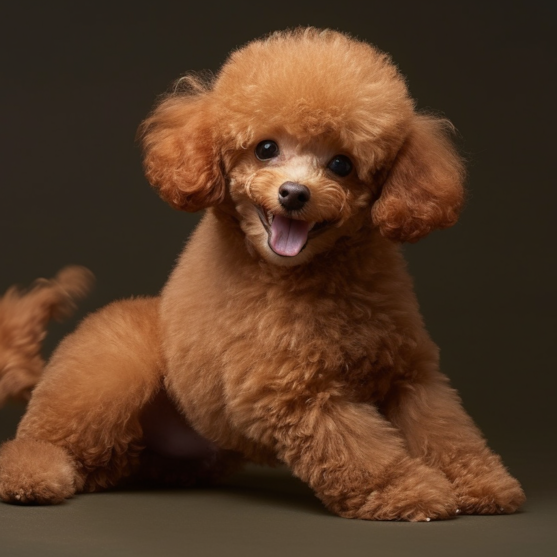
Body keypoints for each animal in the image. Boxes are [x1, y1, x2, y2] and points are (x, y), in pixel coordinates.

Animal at [0, 28, 524, 520]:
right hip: (110, 373)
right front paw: (409, 491)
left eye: (342, 163)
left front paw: (483, 485)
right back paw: (33, 476)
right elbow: (360, 449)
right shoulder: (293, 392)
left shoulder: (410, 374)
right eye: (265, 148)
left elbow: (447, 431)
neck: (320, 278)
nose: (294, 193)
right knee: (42, 441)